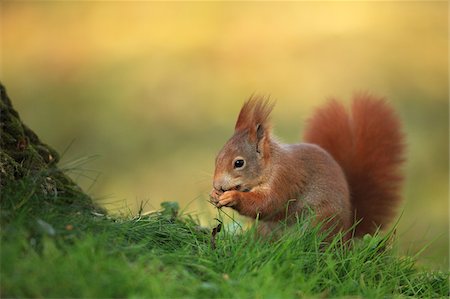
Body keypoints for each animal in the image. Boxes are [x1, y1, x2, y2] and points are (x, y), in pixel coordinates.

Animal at [210, 95, 404, 240]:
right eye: (217, 157)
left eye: (239, 163)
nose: (217, 185)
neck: (271, 165)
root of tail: (347, 236)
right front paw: (214, 196)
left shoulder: (285, 178)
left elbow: (269, 204)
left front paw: (233, 197)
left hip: (321, 221)